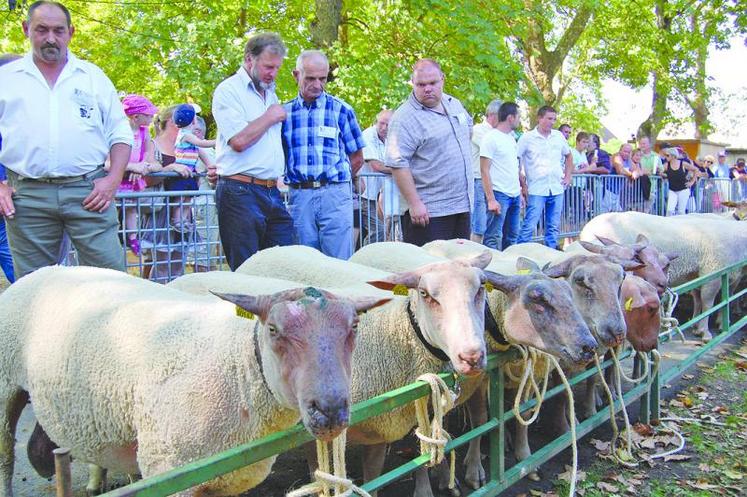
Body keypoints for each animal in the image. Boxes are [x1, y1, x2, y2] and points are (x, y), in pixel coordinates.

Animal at [0, 266, 386, 494]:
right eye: (274, 330)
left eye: (355, 326)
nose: (330, 410)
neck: (238, 369)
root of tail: (47, 268)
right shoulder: (170, 468)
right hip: (5, 385)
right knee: (6, 457)